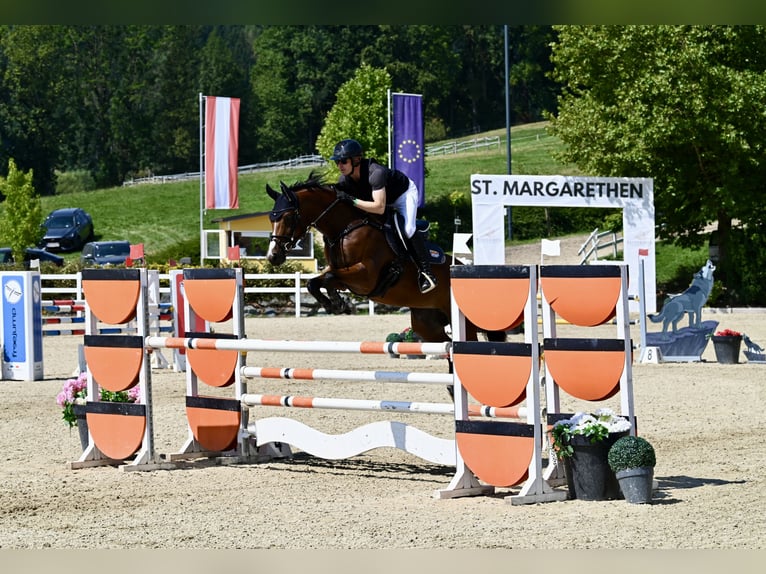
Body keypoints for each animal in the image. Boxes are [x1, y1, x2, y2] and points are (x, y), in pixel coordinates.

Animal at [268, 174, 508, 346]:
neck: (344, 228)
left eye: (287, 217)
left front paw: (336, 303)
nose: (273, 256)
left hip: (460, 321)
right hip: (426, 323)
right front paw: (336, 303)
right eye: (272, 217)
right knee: (446, 346)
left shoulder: (365, 276)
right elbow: (316, 281)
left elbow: (327, 278)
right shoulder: (342, 273)